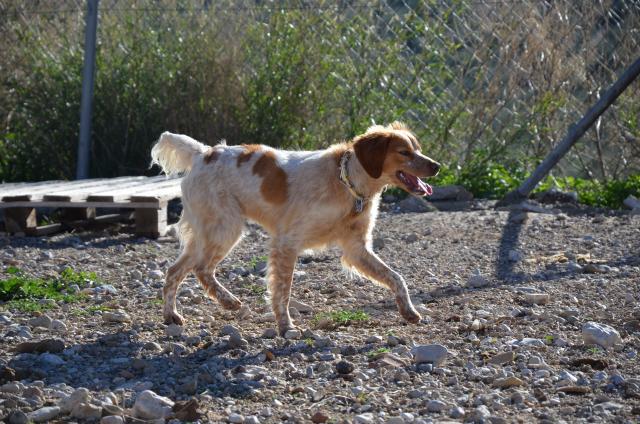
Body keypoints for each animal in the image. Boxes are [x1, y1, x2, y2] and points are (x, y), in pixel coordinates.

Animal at [151, 122, 440, 335]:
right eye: (404, 152)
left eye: (418, 148)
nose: (437, 165)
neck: (346, 182)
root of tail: (204, 153)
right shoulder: (287, 243)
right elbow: (283, 292)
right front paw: (286, 326)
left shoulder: (357, 249)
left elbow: (396, 277)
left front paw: (408, 310)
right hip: (225, 227)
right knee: (201, 268)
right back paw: (226, 301)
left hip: (210, 232)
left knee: (176, 271)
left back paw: (173, 314)